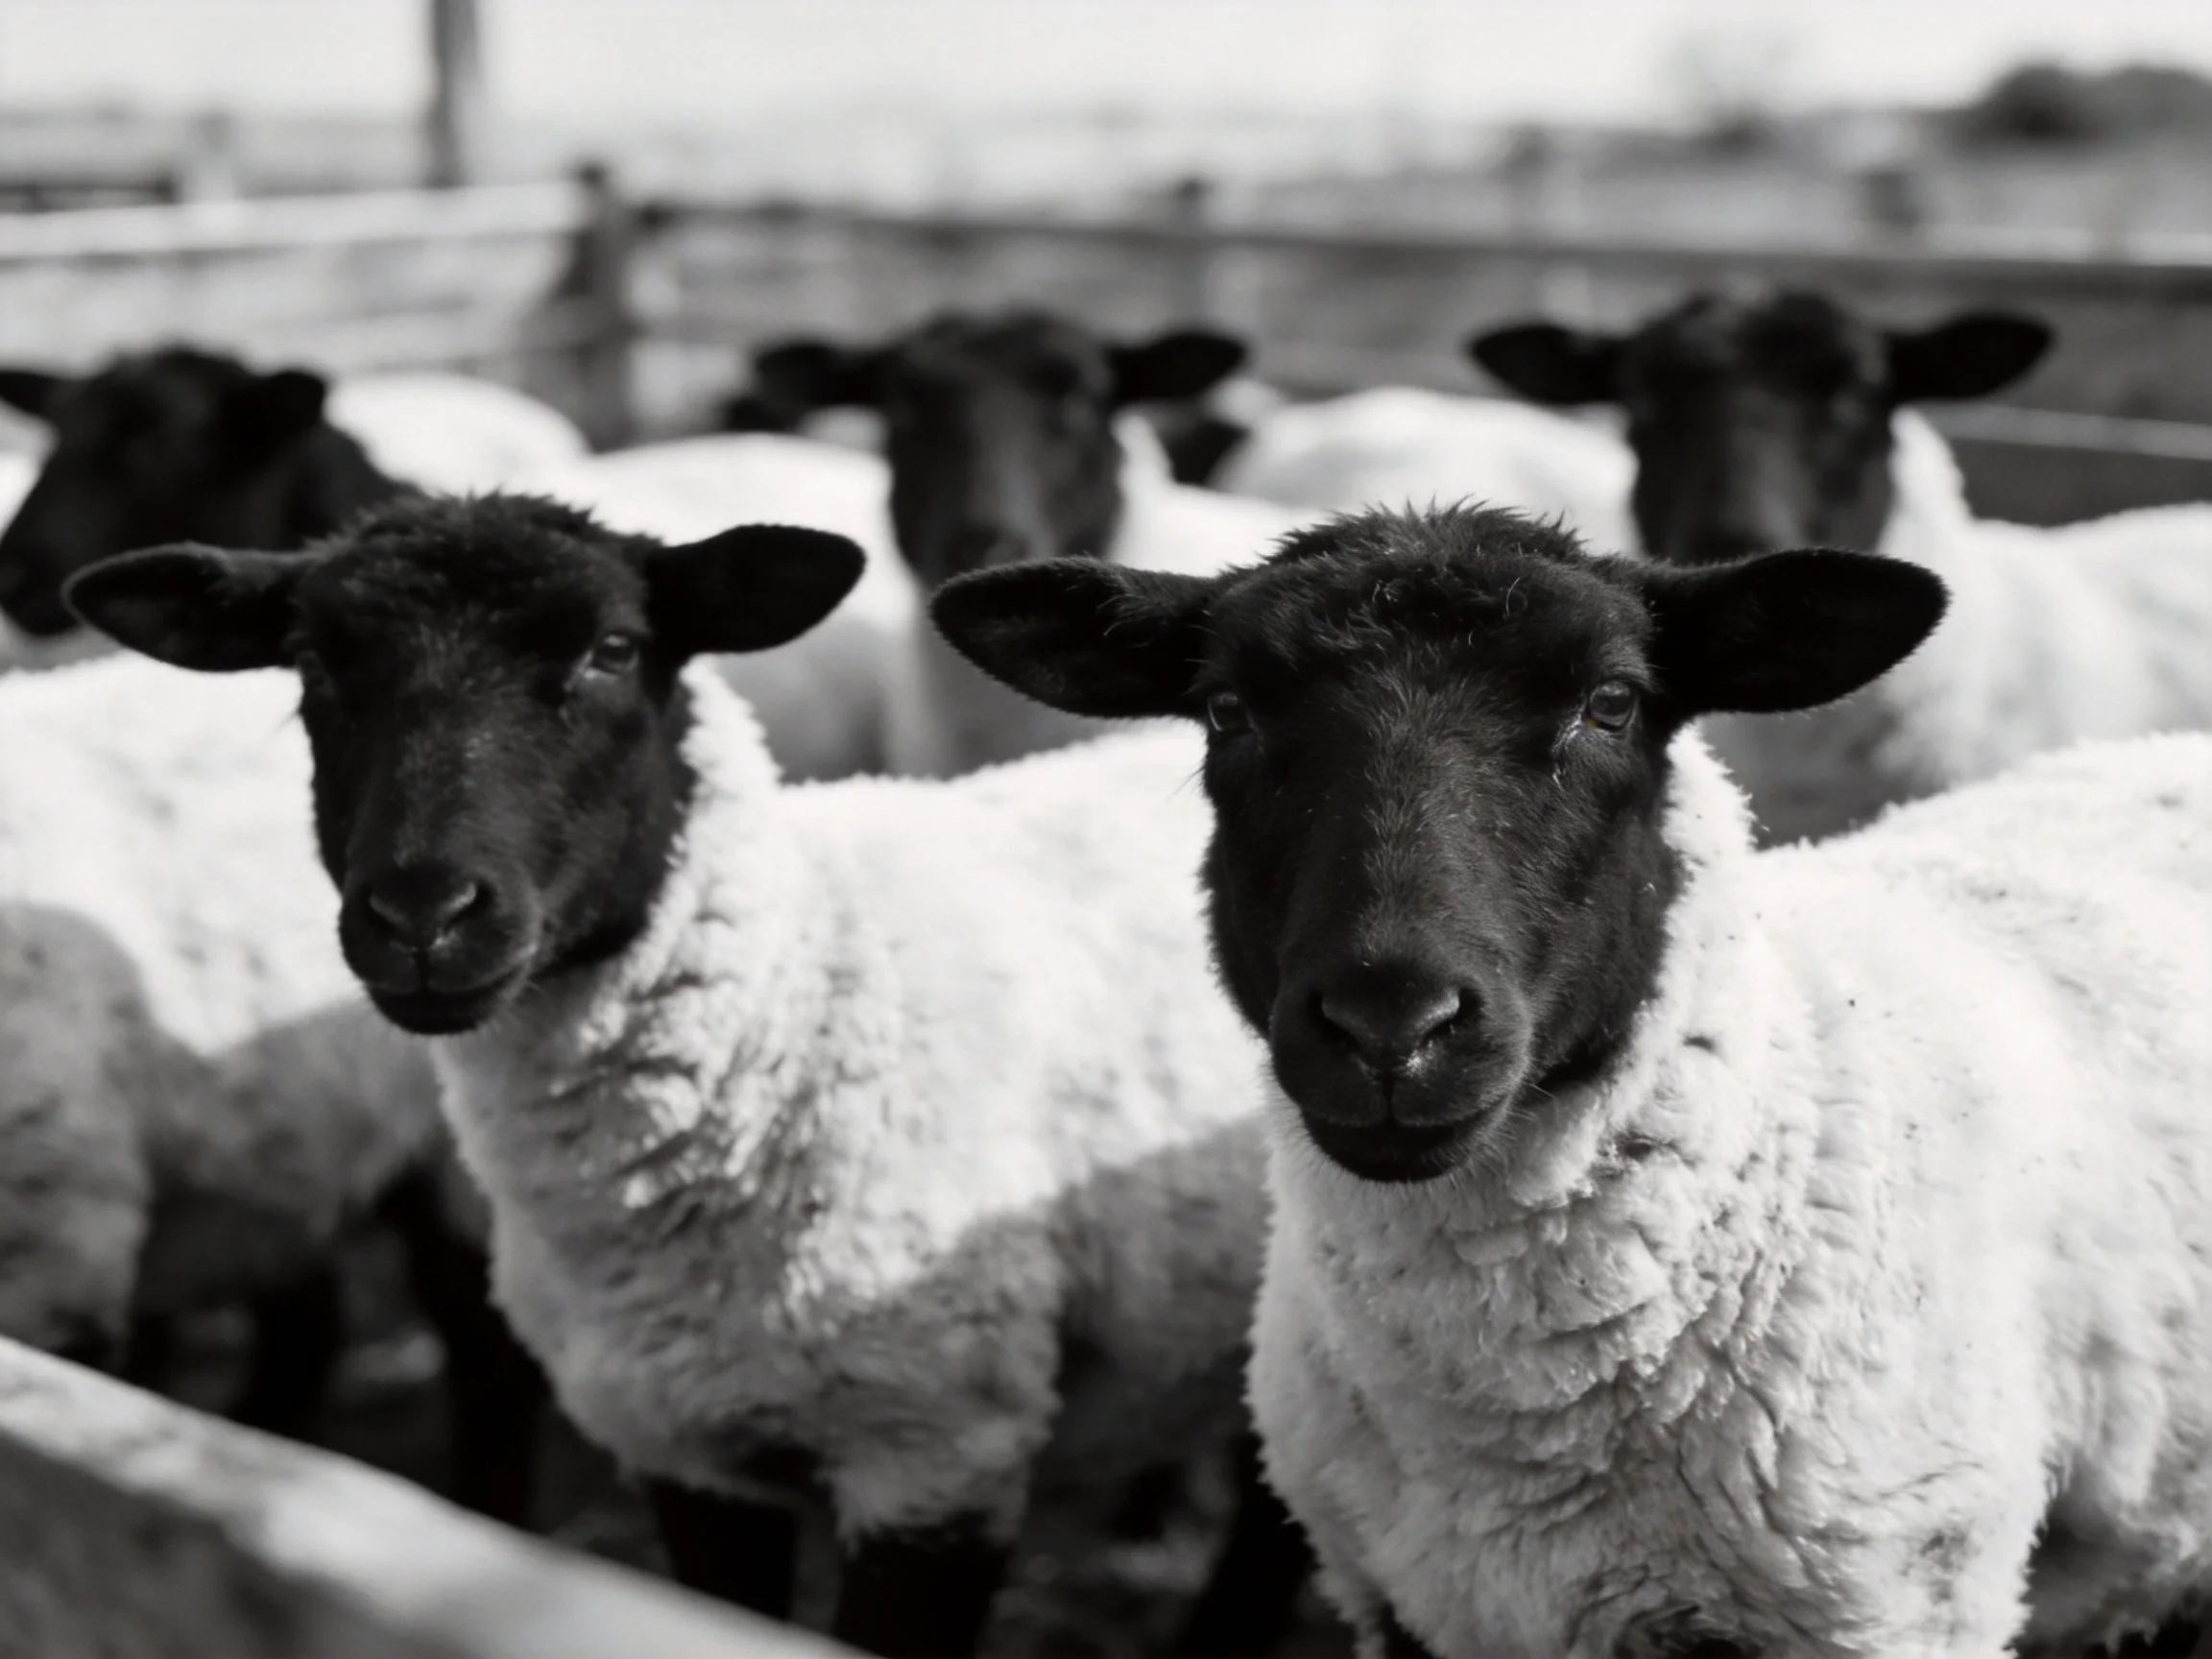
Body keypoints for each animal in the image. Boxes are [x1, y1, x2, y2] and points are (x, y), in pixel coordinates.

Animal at [67, 491, 1302, 1659]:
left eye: (613, 649)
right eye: (316, 665)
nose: (422, 915)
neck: (805, 999)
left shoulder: (936, 1450)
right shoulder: (685, 1450)